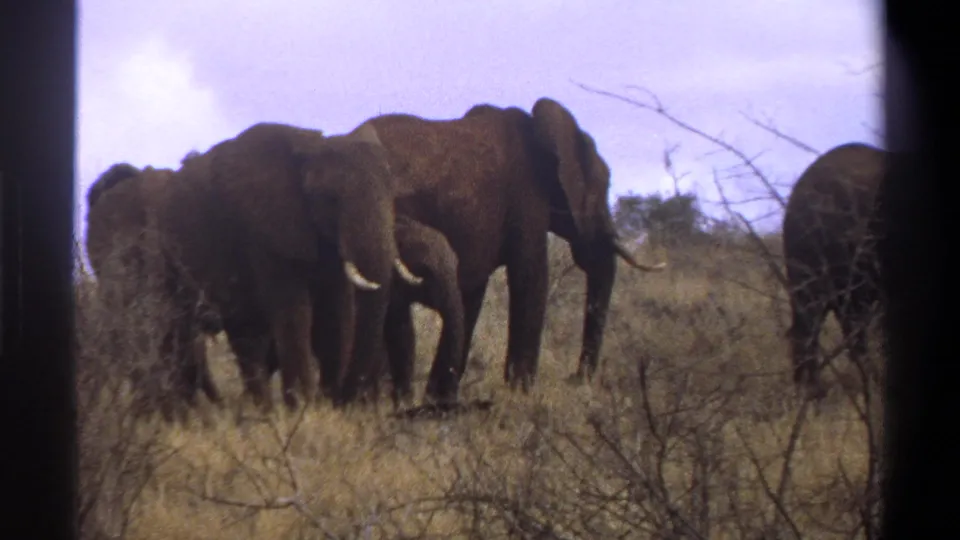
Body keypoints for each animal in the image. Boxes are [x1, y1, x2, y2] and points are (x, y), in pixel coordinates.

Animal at [161, 121, 423, 410]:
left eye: (393, 196)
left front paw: (327, 407)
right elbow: (295, 311)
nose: (348, 400)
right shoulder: (265, 231)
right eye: (331, 199)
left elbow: (335, 313)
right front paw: (303, 409)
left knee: (247, 334)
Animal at [360, 97, 667, 401]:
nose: (574, 379)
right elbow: (531, 279)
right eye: (603, 187)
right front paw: (521, 397)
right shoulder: (526, 200)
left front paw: (440, 401)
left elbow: (469, 293)